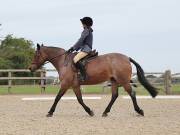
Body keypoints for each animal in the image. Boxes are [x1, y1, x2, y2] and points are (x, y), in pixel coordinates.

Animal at [28, 44, 158, 117]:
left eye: (36, 55)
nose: (30, 68)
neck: (63, 61)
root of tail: (127, 57)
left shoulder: (65, 84)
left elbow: (57, 98)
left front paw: (50, 112)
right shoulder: (75, 85)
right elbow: (80, 100)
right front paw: (89, 111)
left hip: (124, 81)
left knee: (132, 94)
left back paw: (139, 111)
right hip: (114, 81)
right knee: (114, 96)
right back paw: (105, 112)